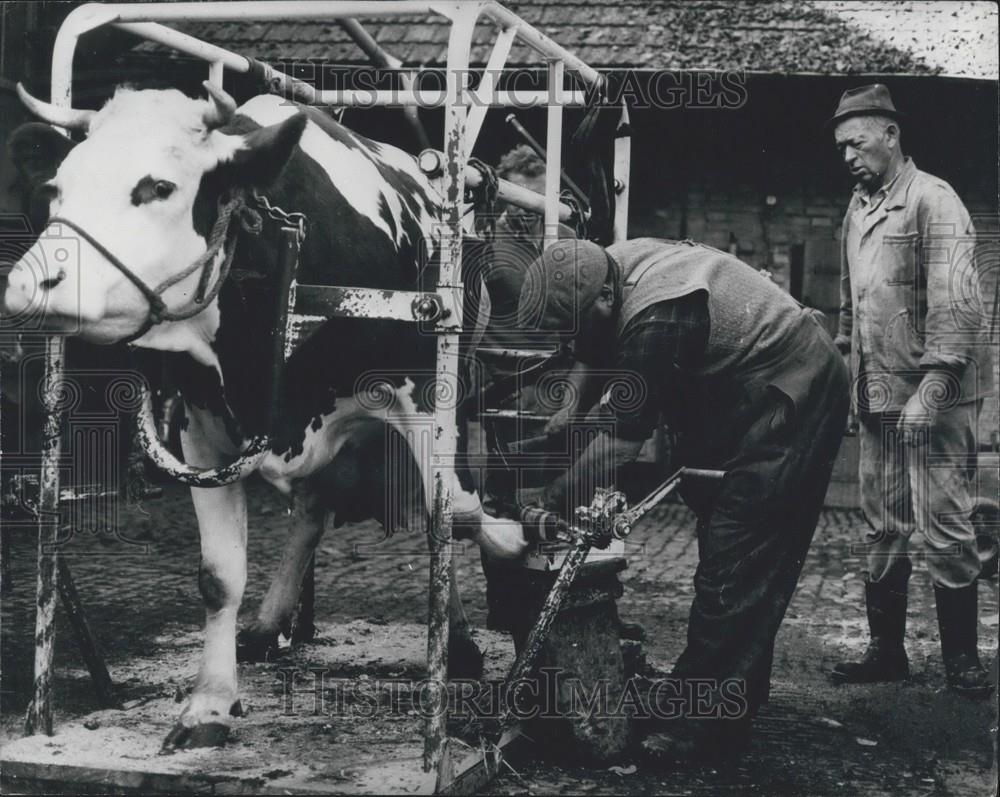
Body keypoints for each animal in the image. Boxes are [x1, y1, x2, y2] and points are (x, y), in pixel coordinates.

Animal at [1, 84, 532, 748]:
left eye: (159, 187)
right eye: (56, 189)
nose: (26, 287)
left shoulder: (425, 394)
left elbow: (454, 514)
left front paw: (512, 549)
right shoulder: (200, 431)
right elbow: (218, 575)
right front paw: (208, 704)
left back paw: (458, 639)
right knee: (310, 510)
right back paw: (269, 622)